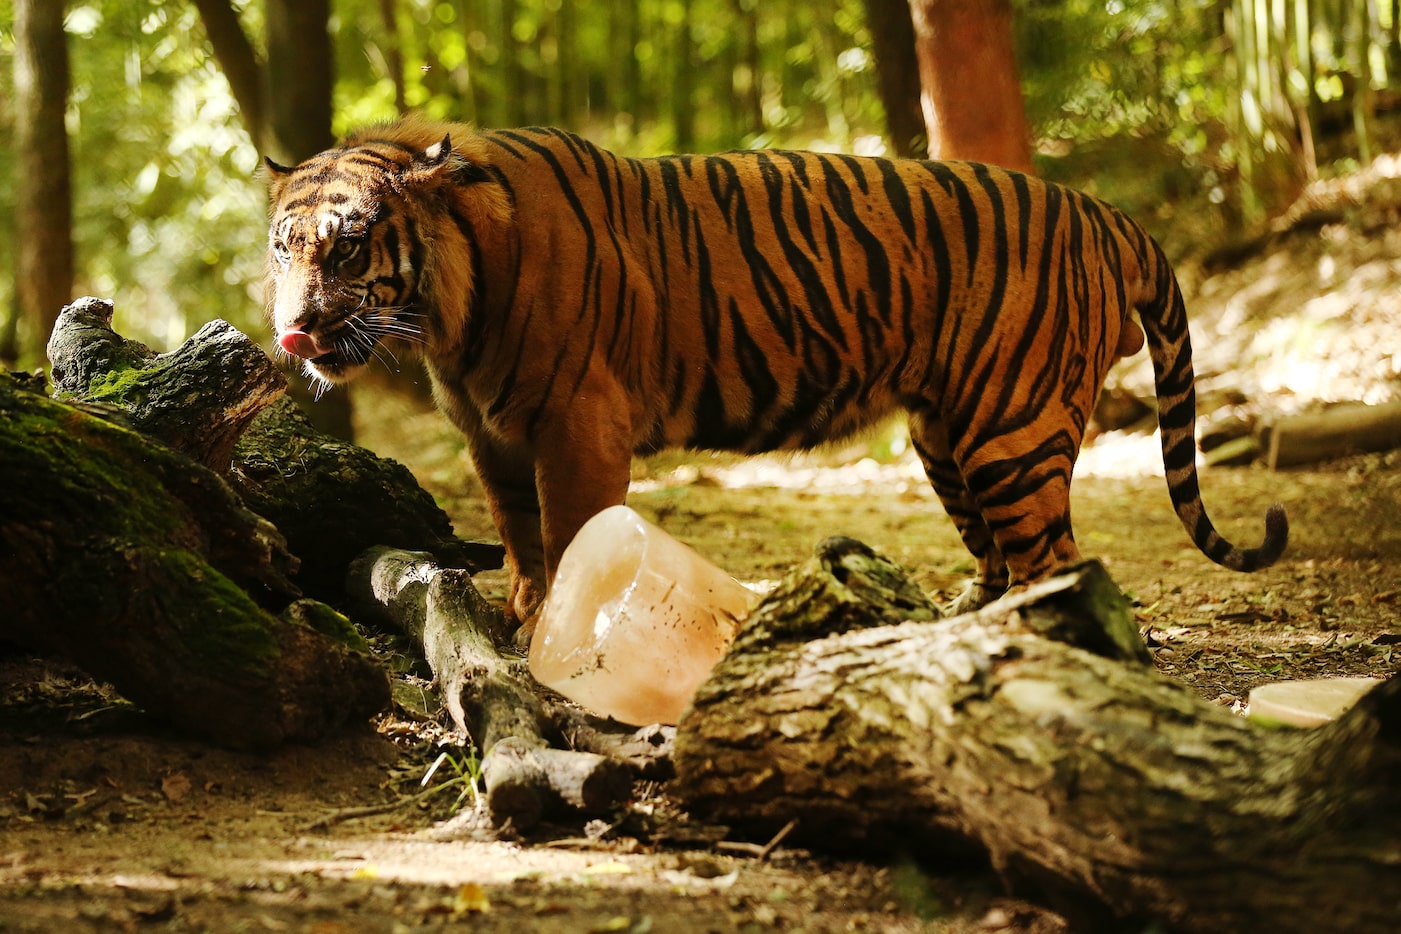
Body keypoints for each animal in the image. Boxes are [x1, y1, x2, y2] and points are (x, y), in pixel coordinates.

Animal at [264, 114, 1288, 627]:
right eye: (282, 248)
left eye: (347, 248)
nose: (292, 332)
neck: (448, 312)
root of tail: (1106, 214)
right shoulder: (491, 432)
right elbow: (518, 534)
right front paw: (521, 612)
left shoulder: (576, 421)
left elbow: (572, 532)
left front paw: (560, 623)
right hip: (946, 433)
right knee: (1003, 552)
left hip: (1013, 427)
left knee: (1057, 560)